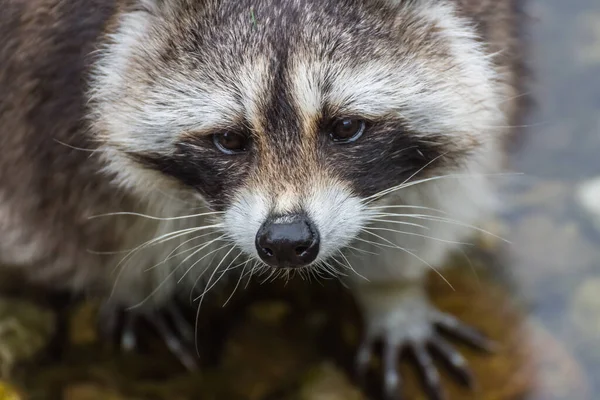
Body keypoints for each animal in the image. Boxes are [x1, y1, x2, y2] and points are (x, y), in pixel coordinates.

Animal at [0, 0, 524, 398]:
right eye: (229, 139)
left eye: (346, 128)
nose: (286, 240)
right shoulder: (40, 97)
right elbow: (67, 220)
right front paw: (133, 283)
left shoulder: (491, 36)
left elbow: (440, 192)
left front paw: (394, 292)